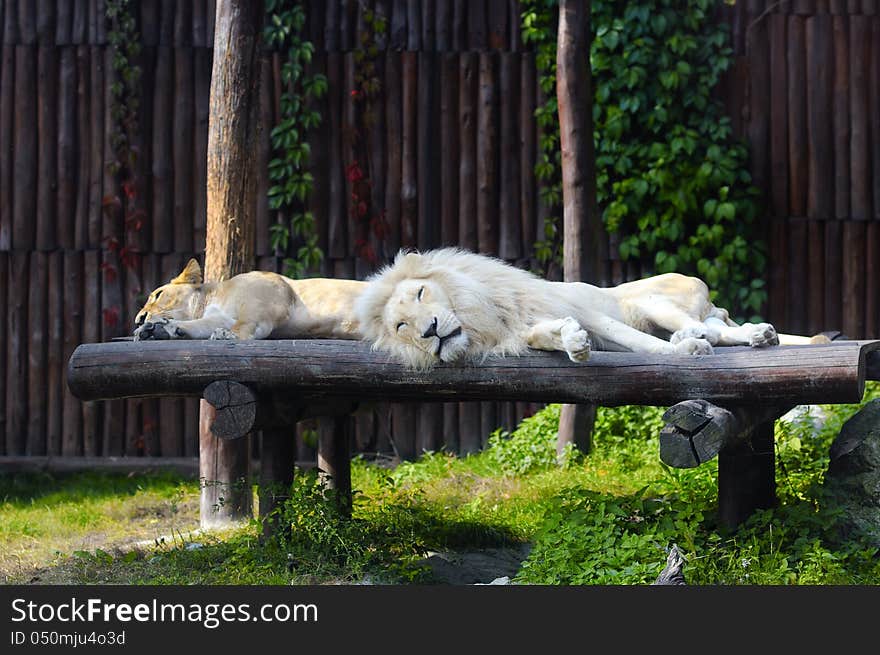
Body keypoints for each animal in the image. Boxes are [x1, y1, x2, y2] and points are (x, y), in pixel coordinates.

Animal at [350, 247, 812, 368]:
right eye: (401, 327)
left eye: (421, 294)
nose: (429, 331)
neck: (487, 320)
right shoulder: (524, 332)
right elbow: (545, 336)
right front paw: (571, 342)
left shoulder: (588, 309)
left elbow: (638, 342)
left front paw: (679, 352)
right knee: (716, 328)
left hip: (649, 297)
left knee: (713, 328)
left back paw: (720, 336)